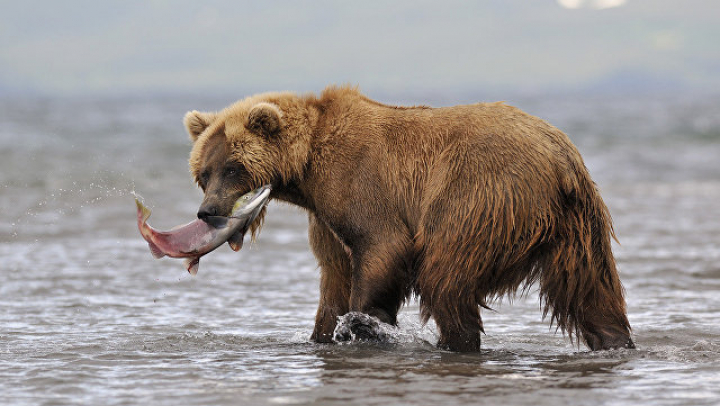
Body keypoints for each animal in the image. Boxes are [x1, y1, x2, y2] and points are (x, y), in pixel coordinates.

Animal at [183, 85, 632, 352]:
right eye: (203, 172)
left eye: (234, 168)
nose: (208, 211)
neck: (307, 171)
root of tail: (561, 156)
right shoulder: (325, 220)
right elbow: (334, 276)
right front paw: (325, 333)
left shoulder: (360, 183)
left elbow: (382, 247)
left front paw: (364, 323)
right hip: (578, 226)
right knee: (590, 289)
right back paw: (614, 340)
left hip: (480, 194)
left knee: (445, 275)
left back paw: (456, 341)